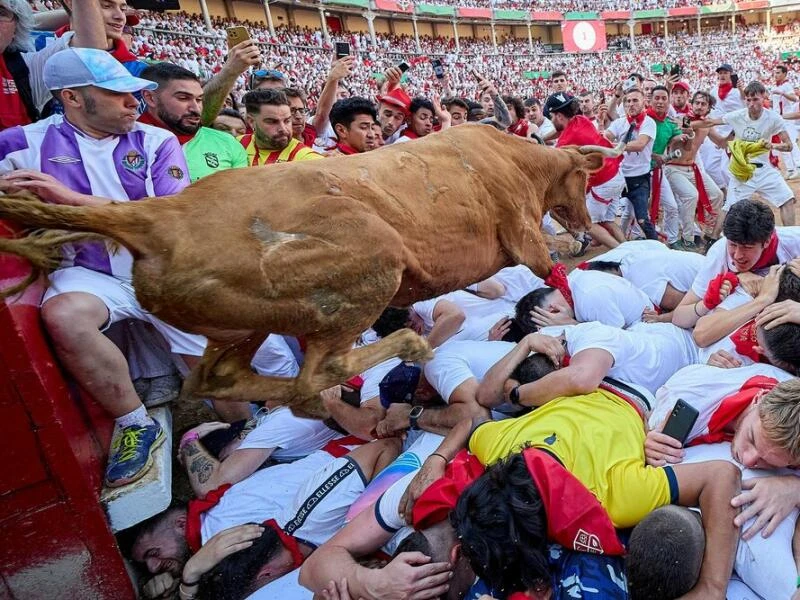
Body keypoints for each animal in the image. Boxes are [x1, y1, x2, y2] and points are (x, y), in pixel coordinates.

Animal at [0, 124, 600, 414]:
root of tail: (158, 219)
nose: (589, 220)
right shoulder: (522, 234)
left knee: (219, 377)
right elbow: (552, 264)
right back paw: (404, 348)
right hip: (369, 268)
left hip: (242, 324)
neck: (514, 158)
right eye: (584, 178)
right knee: (317, 373)